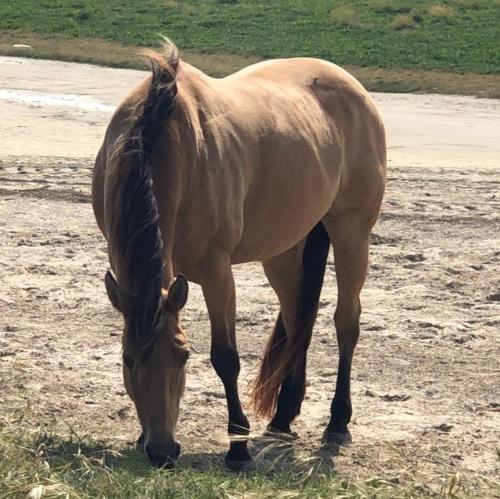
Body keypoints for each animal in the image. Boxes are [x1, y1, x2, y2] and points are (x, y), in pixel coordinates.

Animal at [91, 41, 386, 470]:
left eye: (183, 355)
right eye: (128, 359)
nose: (162, 451)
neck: (161, 135)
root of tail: (354, 89)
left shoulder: (217, 273)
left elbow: (225, 357)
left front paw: (238, 448)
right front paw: (142, 434)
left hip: (352, 234)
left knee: (346, 324)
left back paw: (337, 423)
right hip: (285, 250)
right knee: (298, 321)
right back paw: (283, 417)